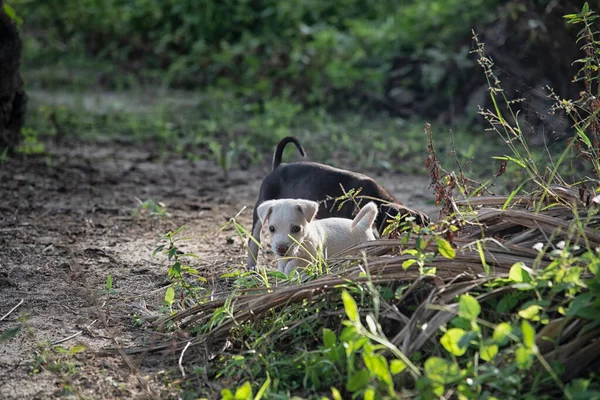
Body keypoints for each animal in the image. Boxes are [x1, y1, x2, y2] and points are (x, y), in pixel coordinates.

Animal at [246, 136, 428, 268]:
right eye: (397, 230)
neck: (376, 197)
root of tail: (279, 166)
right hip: (260, 208)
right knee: (253, 240)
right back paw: (252, 267)